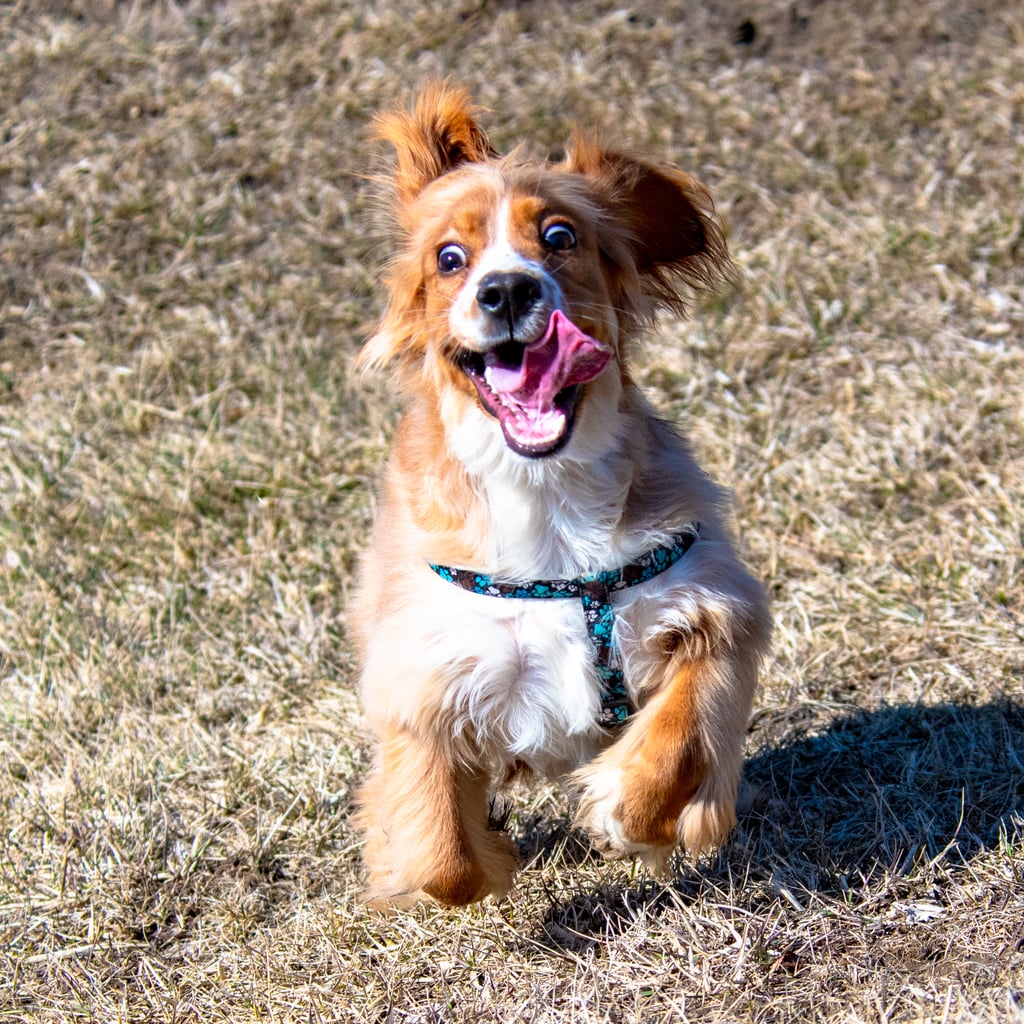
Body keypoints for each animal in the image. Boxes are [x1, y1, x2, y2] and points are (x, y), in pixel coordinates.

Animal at [352, 86, 770, 905]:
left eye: (559, 235)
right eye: (449, 258)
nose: (507, 287)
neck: (543, 494)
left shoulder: (710, 599)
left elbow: (680, 736)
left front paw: (625, 813)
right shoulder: (424, 667)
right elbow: (444, 859)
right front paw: (478, 860)